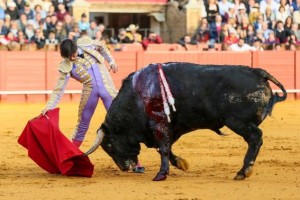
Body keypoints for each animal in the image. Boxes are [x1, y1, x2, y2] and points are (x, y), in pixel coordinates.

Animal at [84, 62, 286, 181]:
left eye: (110, 146)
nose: (126, 168)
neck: (137, 96)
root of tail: (258, 72)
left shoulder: (159, 125)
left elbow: (163, 149)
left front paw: (161, 175)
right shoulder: (171, 128)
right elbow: (165, 148)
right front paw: (181, 163)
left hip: (237, 121)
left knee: (255, 138)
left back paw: (243, 171)